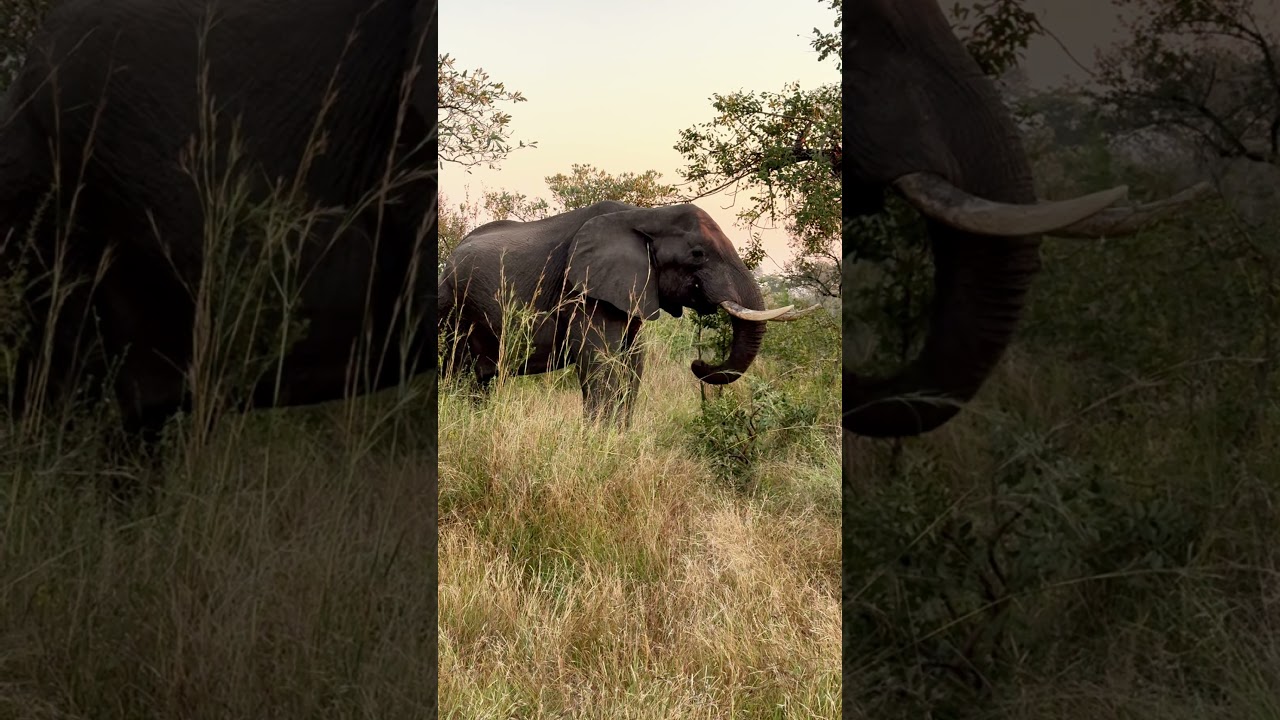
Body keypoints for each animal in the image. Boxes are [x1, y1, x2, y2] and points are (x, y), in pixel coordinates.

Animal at [437, 201, 814, 425]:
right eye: (697, 254)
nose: (698, 363)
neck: (645, 215)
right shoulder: (584, 290)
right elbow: (600, 362)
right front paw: (597, 439)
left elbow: (634, 362)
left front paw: (619, 436)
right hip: (451, 308)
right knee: (457, 376)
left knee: (478, 384)